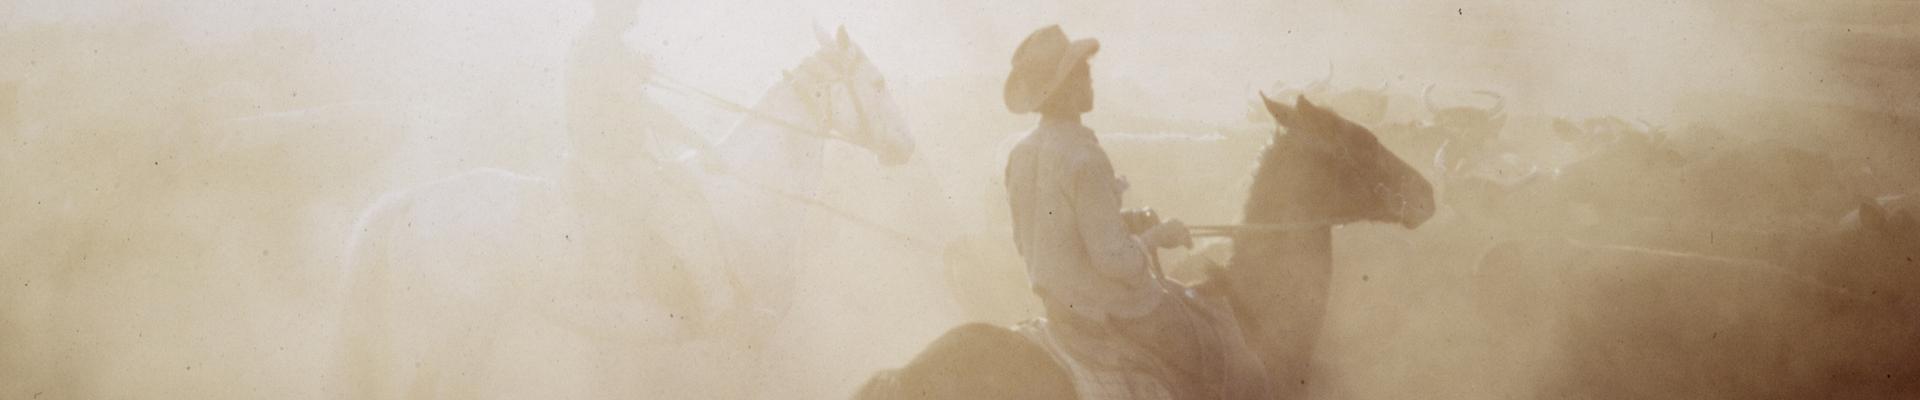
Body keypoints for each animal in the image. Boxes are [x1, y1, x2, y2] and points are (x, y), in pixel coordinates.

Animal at [334, 26, 917, 398]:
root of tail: (408, 201)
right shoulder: (754, 338)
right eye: (878, 83)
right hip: (452, 336)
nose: (906, 148)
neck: (754, 193)